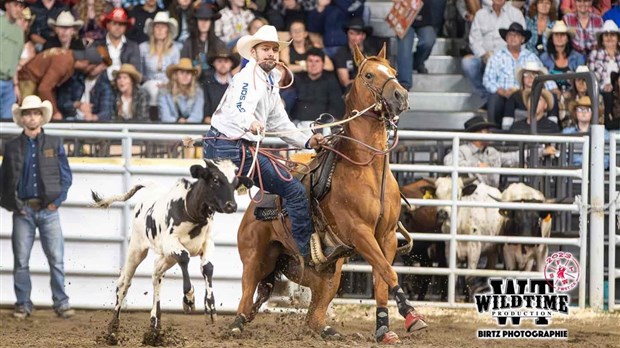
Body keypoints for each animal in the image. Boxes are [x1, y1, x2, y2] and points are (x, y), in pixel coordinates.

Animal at [230, 44, 428, 344]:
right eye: (369, 75)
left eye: (392, 71)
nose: (400, 95)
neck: (367, 168)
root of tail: (256, 202)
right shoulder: (360, 233)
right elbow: (388, 271)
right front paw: (412, 315)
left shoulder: (386, 236)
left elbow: (382, 278)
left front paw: (384, 329)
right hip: (256, 258)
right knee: (245, 295)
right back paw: (236, 325)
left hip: (320, 271)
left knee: (313, 313)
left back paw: (329, 331)